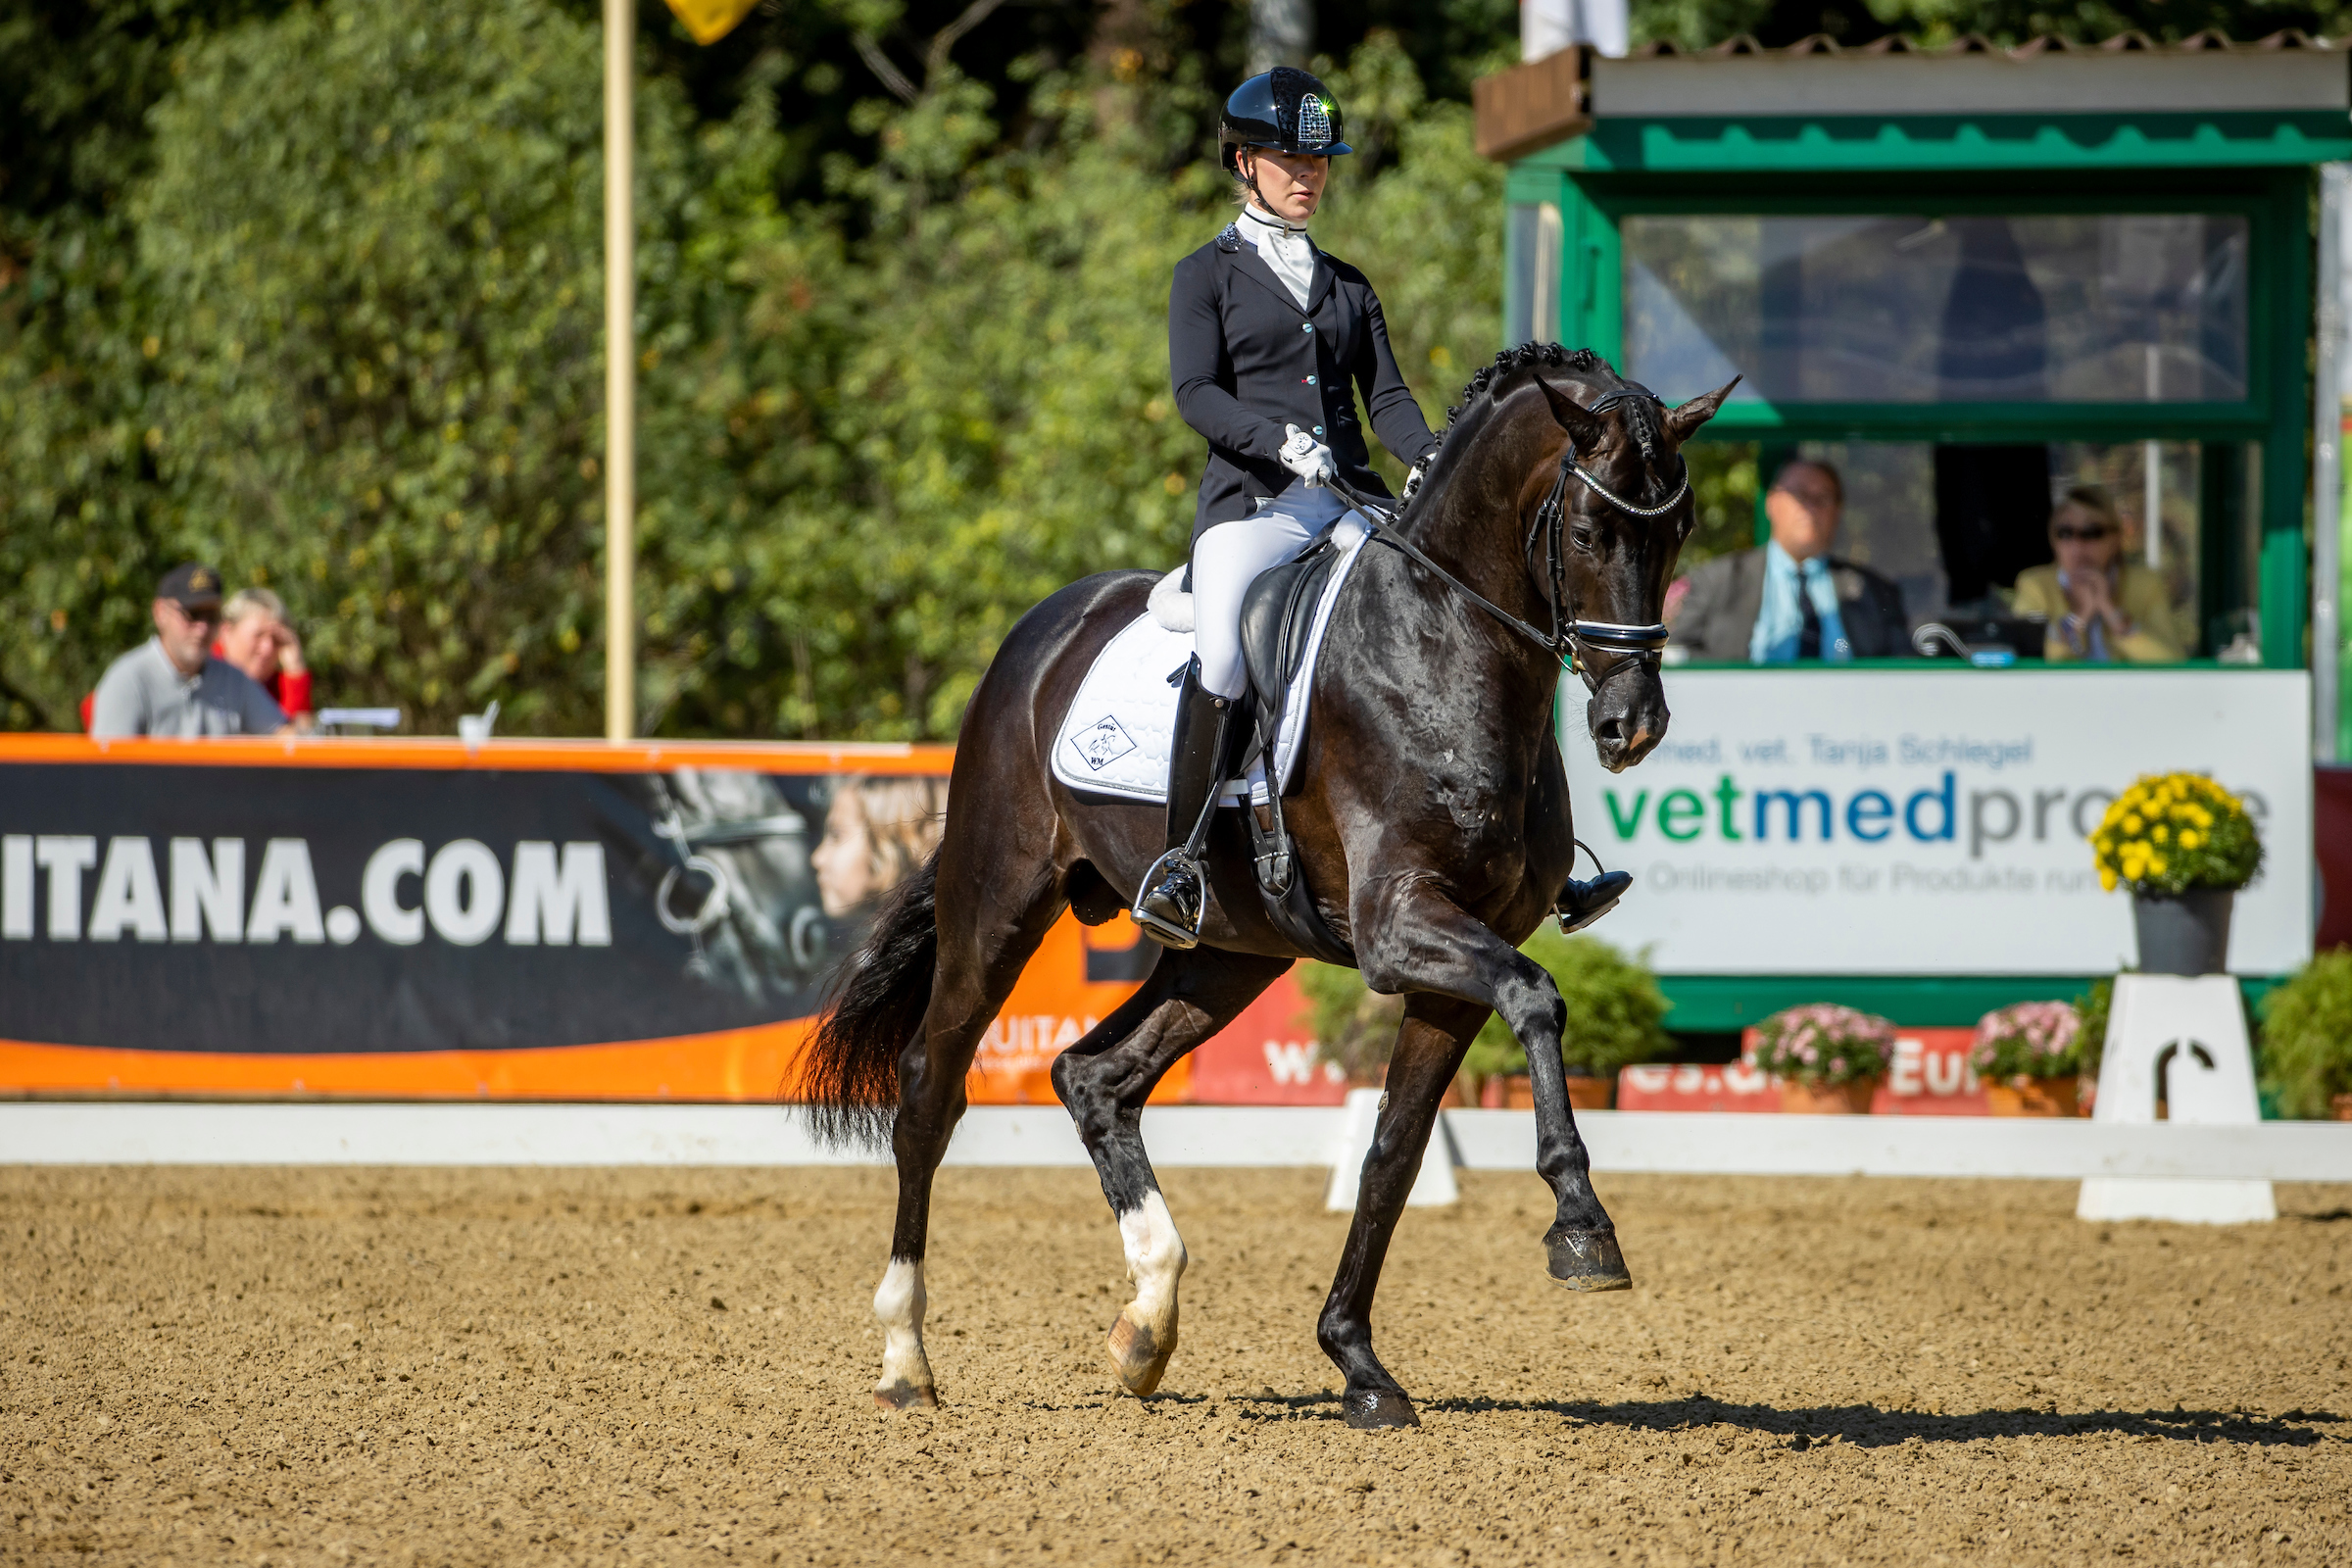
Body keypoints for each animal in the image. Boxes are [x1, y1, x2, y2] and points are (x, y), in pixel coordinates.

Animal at [804, 343, 1731, 1419]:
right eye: (1586, 530)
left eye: (1680, 531)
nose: (1633, 726)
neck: (1443, 647)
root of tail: (1040, 631)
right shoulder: (1400, 926)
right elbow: (1539, 1001)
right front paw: (1582, 1223)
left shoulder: (1457, 959)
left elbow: (1394, 1151)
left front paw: (1358, 1362)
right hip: (997, 904)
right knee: (929, 1087)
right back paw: (906, 1355)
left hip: (1232, 953)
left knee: (1095, 1077)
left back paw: (1146, 1326)